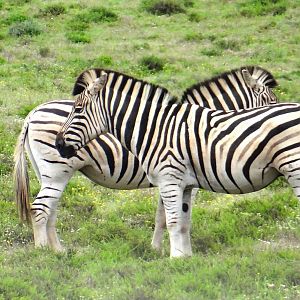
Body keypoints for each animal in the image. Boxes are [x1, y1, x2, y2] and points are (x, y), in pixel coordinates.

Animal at [13, 67, 276, 252]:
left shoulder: (168, 176)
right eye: (273, 102)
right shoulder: (182, 178)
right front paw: (164, 249)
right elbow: (173, 216)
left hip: (49, 173)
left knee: (50, 210)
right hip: (57, 171)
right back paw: (44, 252)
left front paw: (156, 249)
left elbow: (161, 216)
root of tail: (32, 113)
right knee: (40, 209)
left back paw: (58, 250)